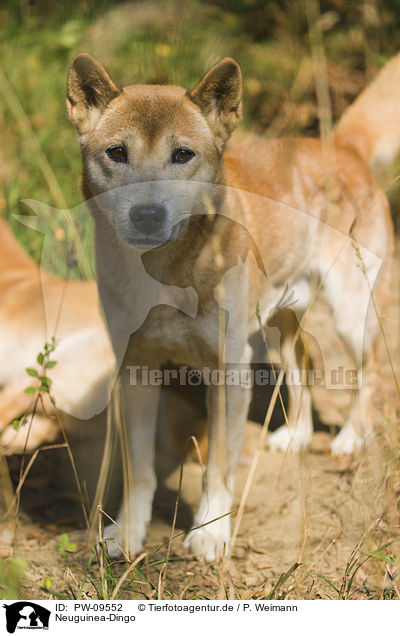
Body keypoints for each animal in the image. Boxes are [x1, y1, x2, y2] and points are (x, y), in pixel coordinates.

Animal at [67, 54, 396, 560]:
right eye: (117, 153)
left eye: (182, 154)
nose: (147, 215)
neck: (166, 275)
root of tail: (340, 147)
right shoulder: (137, 370)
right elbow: (139, 471)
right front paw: (127, 533)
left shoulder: (228, 370)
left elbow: (219, 469)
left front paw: (209, 534)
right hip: (277, 322)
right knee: (303, 364)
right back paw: (297, 436)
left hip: (347, 313)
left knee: (370, 371)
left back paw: (349, 438)